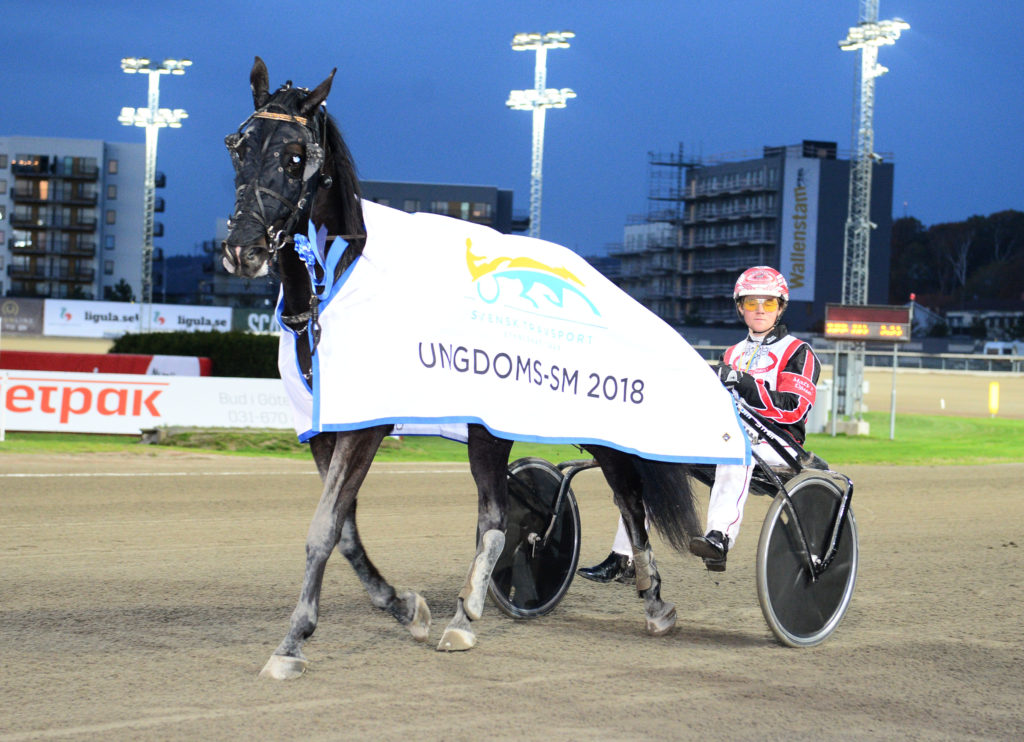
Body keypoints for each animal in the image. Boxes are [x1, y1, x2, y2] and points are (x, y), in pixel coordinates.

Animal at [223, 57, 704, 680]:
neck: (338, 285)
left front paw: (292, 643)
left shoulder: (367, 425)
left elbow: (323, 527)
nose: (243, 248)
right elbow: (346, 530)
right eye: (237, 146)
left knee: (622, 496)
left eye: (294, 156)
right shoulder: (325, 428)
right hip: (489, 429)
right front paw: (405, 607)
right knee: (508, 513)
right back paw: (471, 608)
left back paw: (652, 597)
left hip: (589, 424)